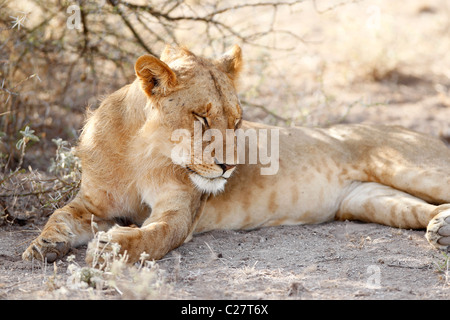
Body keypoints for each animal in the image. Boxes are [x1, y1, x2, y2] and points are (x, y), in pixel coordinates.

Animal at [22, 45, 450, 264]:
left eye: (237, 120)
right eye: (200, 117)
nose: (229, 167)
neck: (139, 154)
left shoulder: (180, 213)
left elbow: (155, 236)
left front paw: (114, 246)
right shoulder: (93, 202)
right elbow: (58, 215)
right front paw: (44, 246)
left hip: (409, 168)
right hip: (369, 199)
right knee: (421, 209)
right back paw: (441, 228)